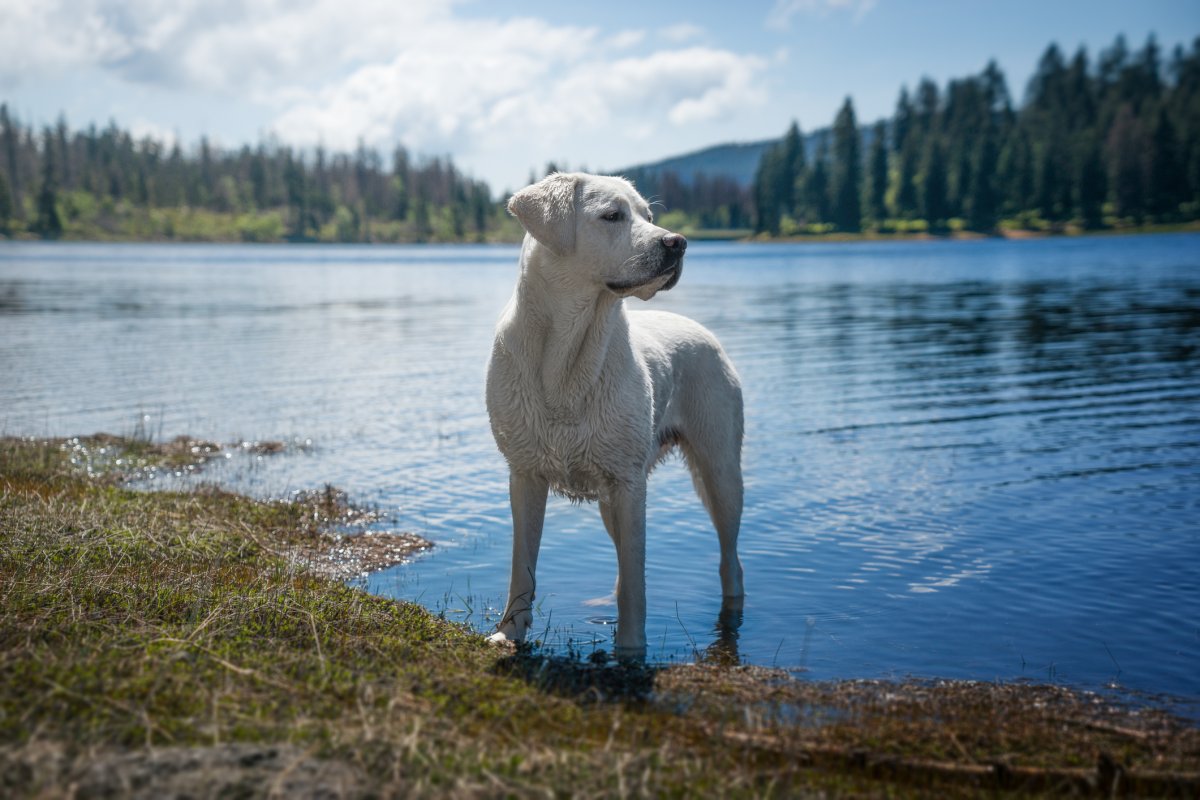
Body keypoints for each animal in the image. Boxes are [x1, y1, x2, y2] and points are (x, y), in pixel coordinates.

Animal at [484, 173, 739, 657]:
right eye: (611, 216)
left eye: (649, 216)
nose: (677, 242)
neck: (567, 357)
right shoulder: (524, 475)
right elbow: (521, 566)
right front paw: (509, 634)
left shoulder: (628, 483)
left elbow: (636, 581)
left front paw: (631, 650)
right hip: (613, 496)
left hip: (719, 471)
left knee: (730, 560)